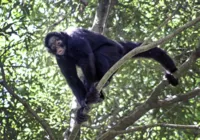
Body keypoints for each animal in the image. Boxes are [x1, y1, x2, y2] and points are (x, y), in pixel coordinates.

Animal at [44, 27, 178, 123]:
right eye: (53, 46)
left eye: (58, 42)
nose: (58, 48)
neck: (67, 46)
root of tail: (120, 46)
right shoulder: (60, 58)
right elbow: (71, 78)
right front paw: (82, 105)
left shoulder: (75, 39)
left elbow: (86, 59)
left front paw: (91, 92)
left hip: (113, 51)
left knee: (99, 55)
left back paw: (101, 83)